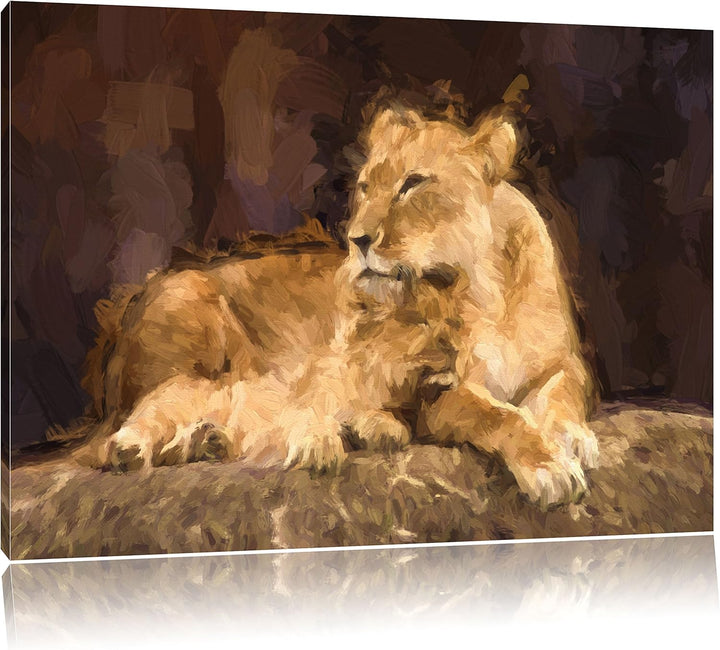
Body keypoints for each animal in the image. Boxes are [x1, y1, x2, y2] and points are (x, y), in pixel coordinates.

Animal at [77, 101, 598, 508]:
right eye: (365, 187)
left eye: (413, 183)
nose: (357, 239)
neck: (486, 289)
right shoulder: (436, 396)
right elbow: (498, 415)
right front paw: (550, 467)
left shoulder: (561, 363)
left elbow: (562, 398)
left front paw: (575, 438)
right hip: (200, 312)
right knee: (170, 405)